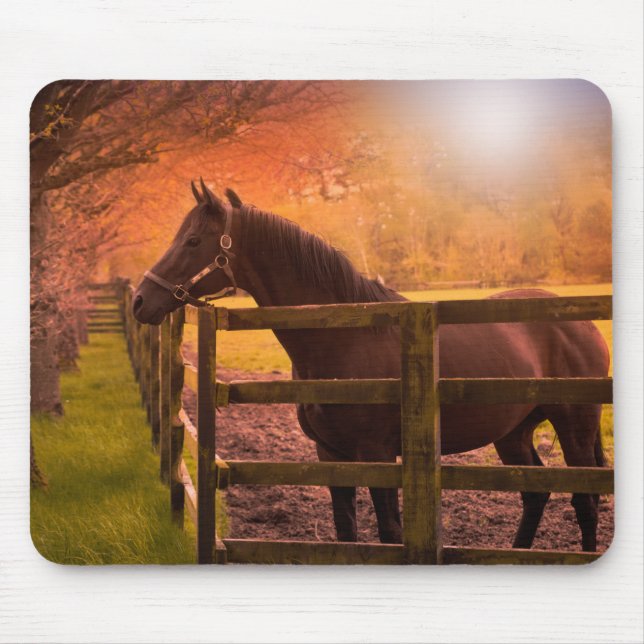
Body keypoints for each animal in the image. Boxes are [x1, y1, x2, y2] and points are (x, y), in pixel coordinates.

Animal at [133, 180, 610, 552]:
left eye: (193, 241)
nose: (141, 300)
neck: (344, 336)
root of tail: (581, 322)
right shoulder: (331, 454)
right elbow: (347, 533)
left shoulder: (377, 454)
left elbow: (389, 533)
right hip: (513, 431)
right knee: (534, 493)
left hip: (575, 427)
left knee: (585, 501)